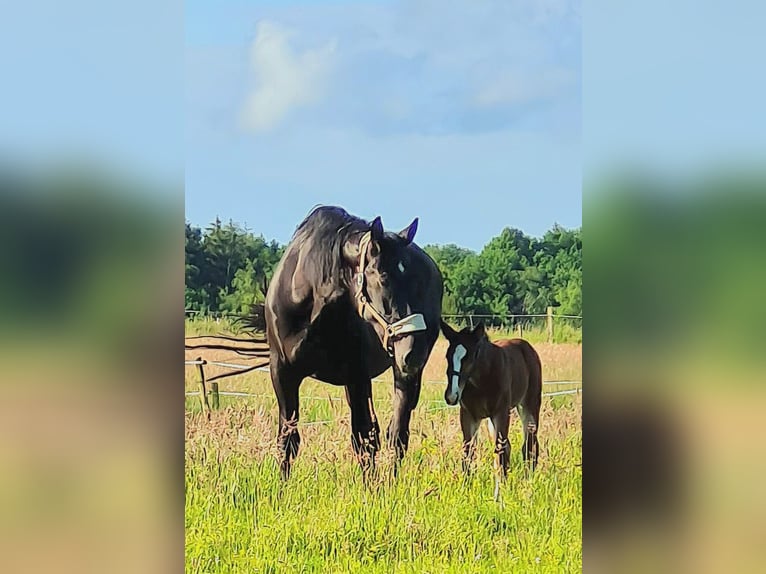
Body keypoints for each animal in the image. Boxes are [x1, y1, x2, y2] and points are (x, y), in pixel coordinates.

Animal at [440, 322, 544, 492]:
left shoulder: (501, 413)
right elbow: (468, 450)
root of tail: (528, 348)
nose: (451, 395)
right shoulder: (468, 415)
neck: (482, 381)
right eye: (448, 356)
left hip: (529, 406)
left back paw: (528, 480)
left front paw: (499, 492)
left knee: (529, 445)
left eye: (469, 357)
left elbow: (499, 450)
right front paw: (465, 488)